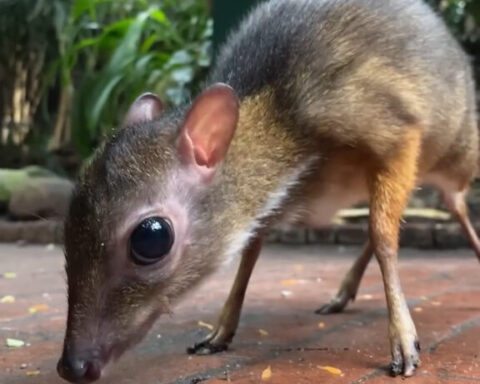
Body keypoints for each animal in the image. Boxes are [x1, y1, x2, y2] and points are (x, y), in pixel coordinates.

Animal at [57, 0, 480, 380]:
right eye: (69, 218)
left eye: (151, 238)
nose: (72, 366)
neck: (284, 117)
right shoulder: (278, 197)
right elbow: (252, 249)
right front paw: (219, 333)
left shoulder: (397, 131)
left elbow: (382, 235)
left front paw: (404, 344)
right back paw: (342, 294)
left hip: (455, 157)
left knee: (453, 205)